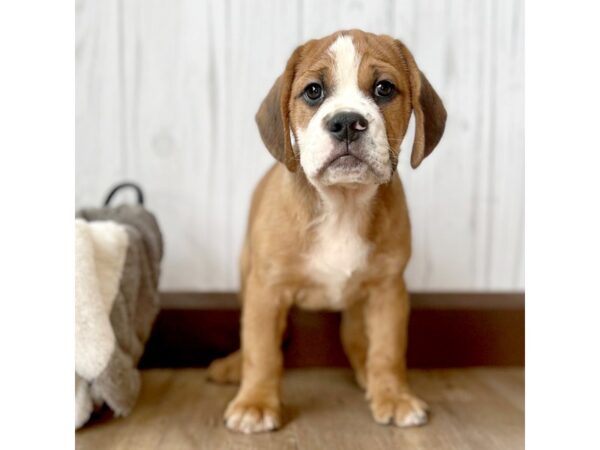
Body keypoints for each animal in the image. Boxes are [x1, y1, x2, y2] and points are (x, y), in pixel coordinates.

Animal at [206, 29, 446, 434]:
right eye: (314, 91)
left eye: (384, 88)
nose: (347, 122)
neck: (342, 204)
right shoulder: (266, 290)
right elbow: (262, 351)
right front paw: (255, 402)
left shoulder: (388, 290)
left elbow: (387, 350)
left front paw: (393, 395)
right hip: (246, 273)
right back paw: (233, 366)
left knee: (356, 338)